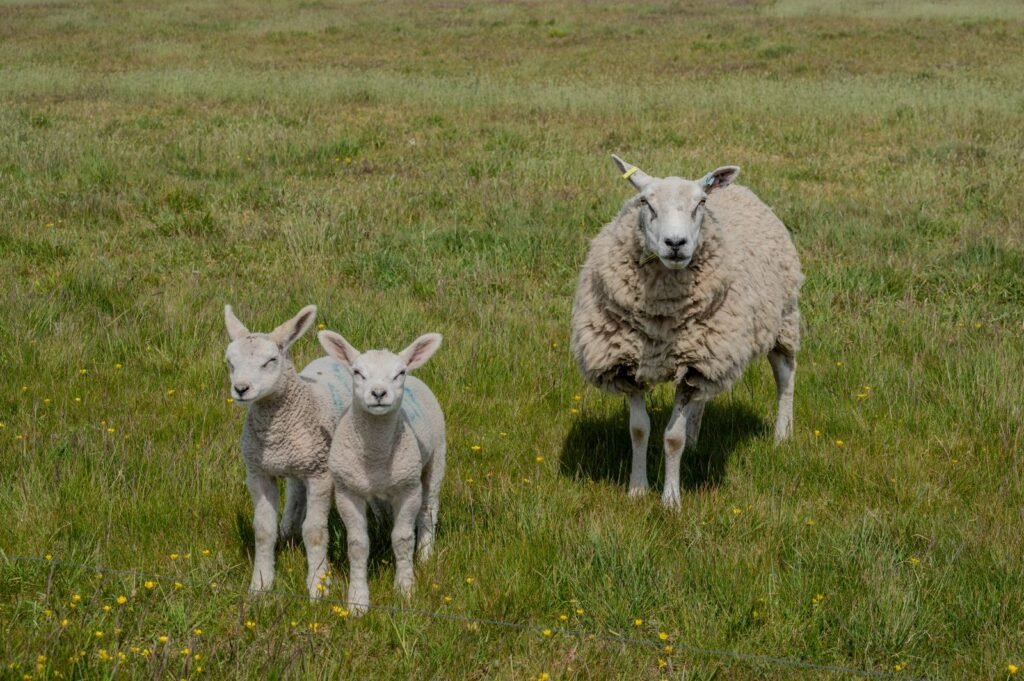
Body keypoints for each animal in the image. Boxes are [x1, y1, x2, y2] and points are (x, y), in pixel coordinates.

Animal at [224, 304, 351, 600]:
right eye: (230, 362)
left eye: (271, 360)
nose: (241, 389)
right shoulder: (258, 472)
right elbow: (262, 530)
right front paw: (260, 585)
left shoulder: (320, 474)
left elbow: (315, 532)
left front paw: (318, 586)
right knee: (295, 490)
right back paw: (287, 527)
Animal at [317, 330, 446, 616]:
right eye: (357, 372)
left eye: (399, 373)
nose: (378, 393)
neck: (375, 454)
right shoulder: (347, 491)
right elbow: (357, 545)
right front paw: (357, 601)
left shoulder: (408, 489)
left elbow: (403, 538)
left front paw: (405, 589)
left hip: (436, 461)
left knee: (428, 510)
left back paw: (425, 555)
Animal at [570, 154, 803, 508]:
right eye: (645, 201)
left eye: (700, 203)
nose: (676, 244)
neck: (660, 319)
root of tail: (739, 189)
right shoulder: (632, 364)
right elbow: (639, 429)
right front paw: (637, 489)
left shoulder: (695, 360)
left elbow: (672, 438)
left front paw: (671, 500)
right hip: (710, 354)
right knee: (701, 397)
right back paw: (696, 437)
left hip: (782, 318)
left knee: (785, 375)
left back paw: (783, 434)